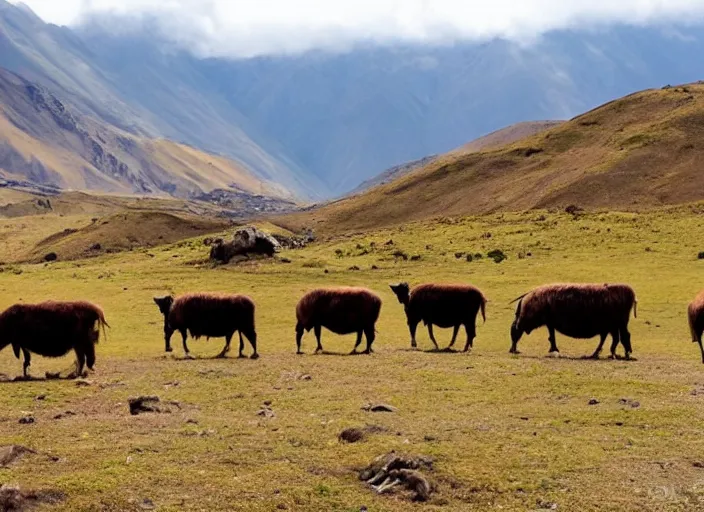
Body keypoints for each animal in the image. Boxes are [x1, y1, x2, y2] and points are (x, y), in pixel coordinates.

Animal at [508, 284, 636, 360]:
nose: (512, 350)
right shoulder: (550, 324)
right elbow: (552, 336)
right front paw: (554, 350)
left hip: (617, 325)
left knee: (622, 336)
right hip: (615, 326)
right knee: (616, 338)